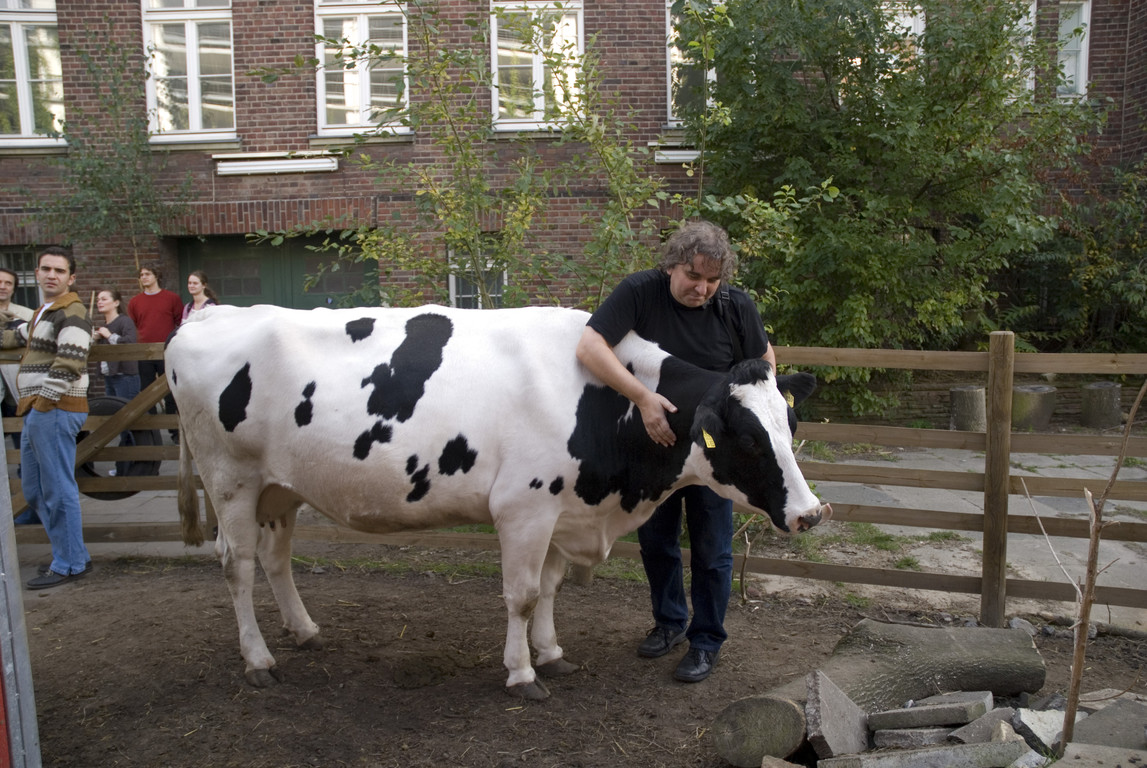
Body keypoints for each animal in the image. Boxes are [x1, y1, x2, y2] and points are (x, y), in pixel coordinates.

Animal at [166, 304, 830, 701]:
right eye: (748, 438)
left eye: (790, 423)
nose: (810, 512)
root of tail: (209, 313)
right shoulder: (524, 507)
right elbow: (523, 594)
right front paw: (521, 672)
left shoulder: (563, 509)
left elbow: (551, 587)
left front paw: (552, 652)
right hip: (231, 479)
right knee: (237, 565)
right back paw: (258, 659)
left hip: (281, 487)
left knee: (275, 559)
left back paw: (303, 631)